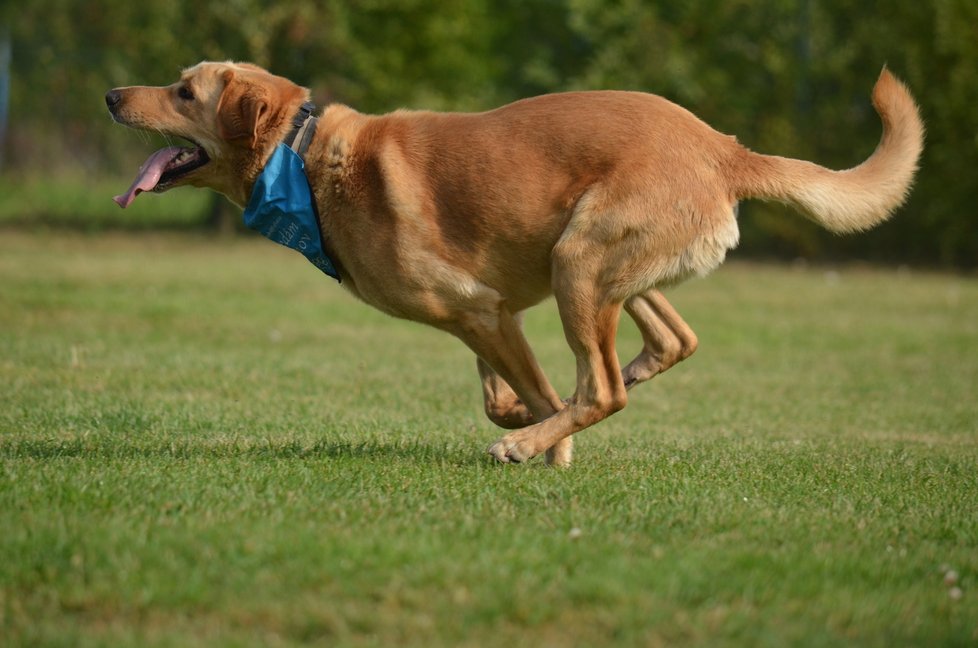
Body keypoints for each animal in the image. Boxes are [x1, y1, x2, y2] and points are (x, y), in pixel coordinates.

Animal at [107, 62, 924, 466]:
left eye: (184, 91)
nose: (112, 94)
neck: (302, 158)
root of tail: (724, 149)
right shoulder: (490, 309)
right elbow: (504, 387)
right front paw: (534, 423)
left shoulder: (475, 306)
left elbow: (529, 393)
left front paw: (545, 447)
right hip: (595, 266)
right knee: (667, 342)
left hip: (580, 261)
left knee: (603, 388)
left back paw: (529, 442)